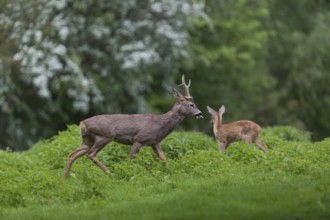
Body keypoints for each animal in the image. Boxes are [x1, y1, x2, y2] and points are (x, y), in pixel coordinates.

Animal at [63, 75, 204, 179]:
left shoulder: (154, 142)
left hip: (87, 140)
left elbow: (165, 159)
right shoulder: (139, 139)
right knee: (91, 154)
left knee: (72, 155)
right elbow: (131, 160)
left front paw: (174, 173)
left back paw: (65, 179)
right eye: (191, 104)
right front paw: (127, 174)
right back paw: (110, 173)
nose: (200, 113)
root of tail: (83, 123)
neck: (160, 124)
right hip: (104, 136)